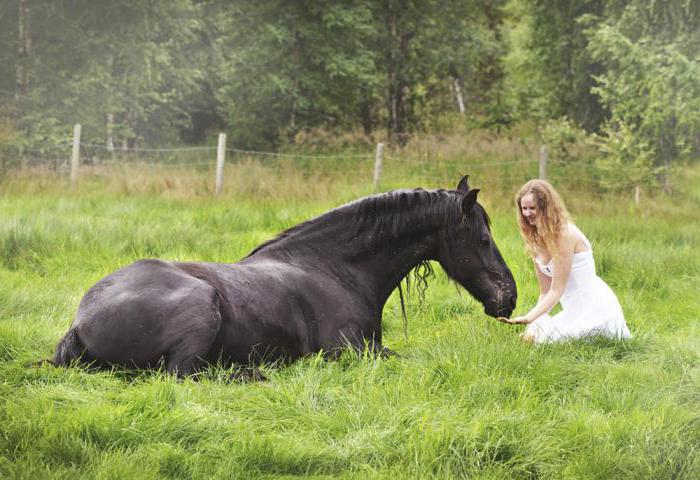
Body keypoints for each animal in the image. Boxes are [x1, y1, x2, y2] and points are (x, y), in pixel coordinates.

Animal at [52, 175, 516, 376]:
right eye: (482, 238)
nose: (509, 296)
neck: (334, 269)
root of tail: (80, 322)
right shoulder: (351, 351)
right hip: (202, 308)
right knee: (185, 374)